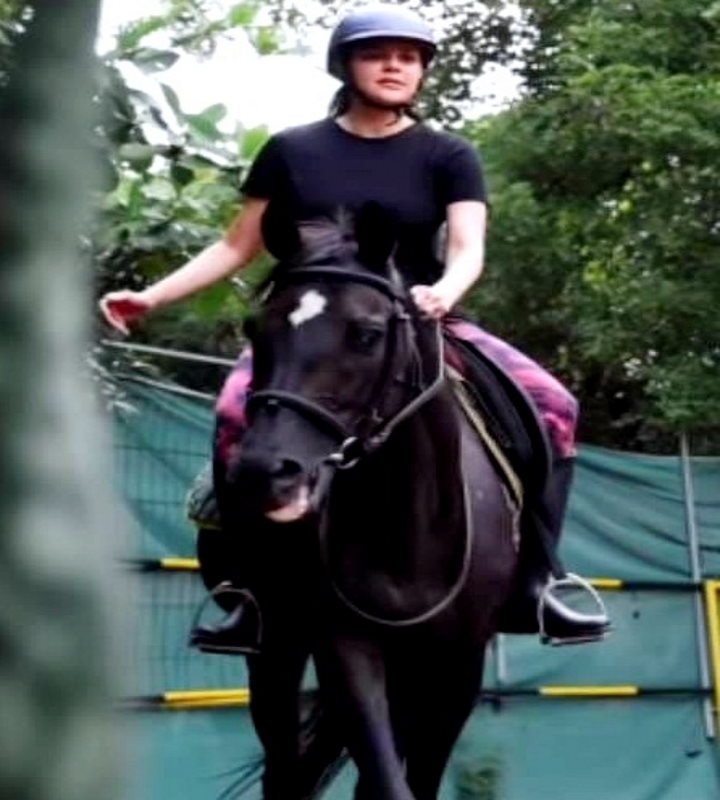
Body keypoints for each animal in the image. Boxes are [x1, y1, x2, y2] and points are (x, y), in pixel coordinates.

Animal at [214, 209, 520, 800]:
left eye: (368, 334)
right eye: (255, 330)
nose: (263, 473)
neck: (409, 522)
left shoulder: (460, 664)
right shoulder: (345, 645)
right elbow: (383, 777)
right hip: (278, 645)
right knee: (285, 769)